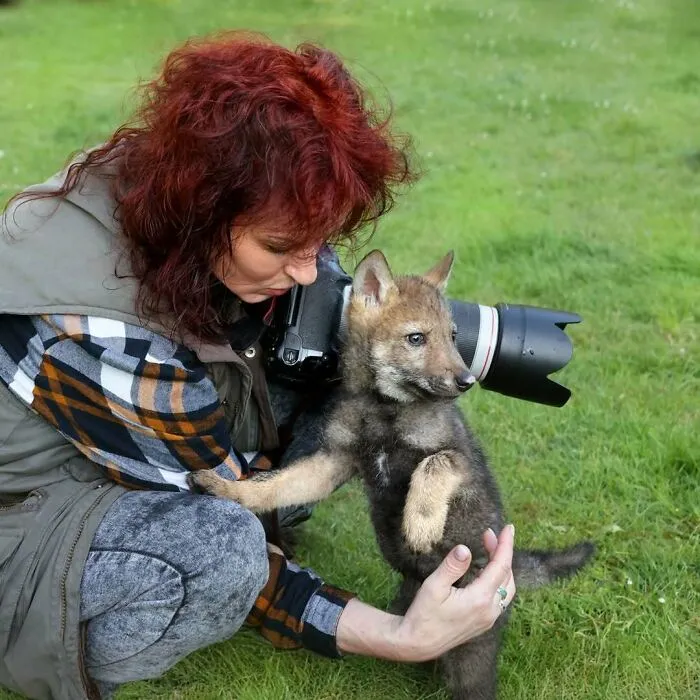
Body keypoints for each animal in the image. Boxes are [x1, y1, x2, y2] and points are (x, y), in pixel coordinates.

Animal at [190, 250, 595, 699]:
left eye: (454, 336)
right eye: (416, 338)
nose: (467, 380)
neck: (385, 410)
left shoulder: (460, 456)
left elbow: (431, 465)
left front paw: (419, 524)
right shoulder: (334, 461)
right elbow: (276, 485)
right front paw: (230, 489)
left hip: (471, 662)